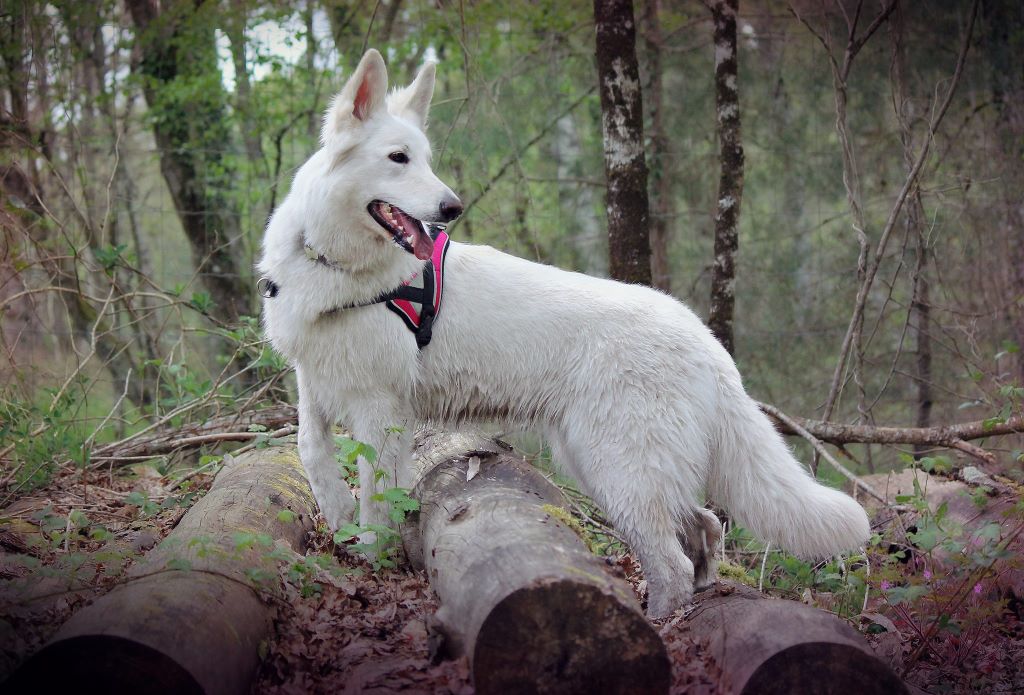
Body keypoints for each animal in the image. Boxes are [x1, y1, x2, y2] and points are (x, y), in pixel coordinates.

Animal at [260, 48, 868, 618]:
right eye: (398, 158)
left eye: (425, 160)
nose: (452, 207)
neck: (333, 263)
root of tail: (707, 342)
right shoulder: (315, 382)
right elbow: (311, 449)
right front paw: (336, 517)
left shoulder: (381, 411)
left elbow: (374, 497)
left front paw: (368, 553)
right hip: (599, 462)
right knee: (702, 526)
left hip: (616, 468)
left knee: (670, 559)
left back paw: (661, 621)